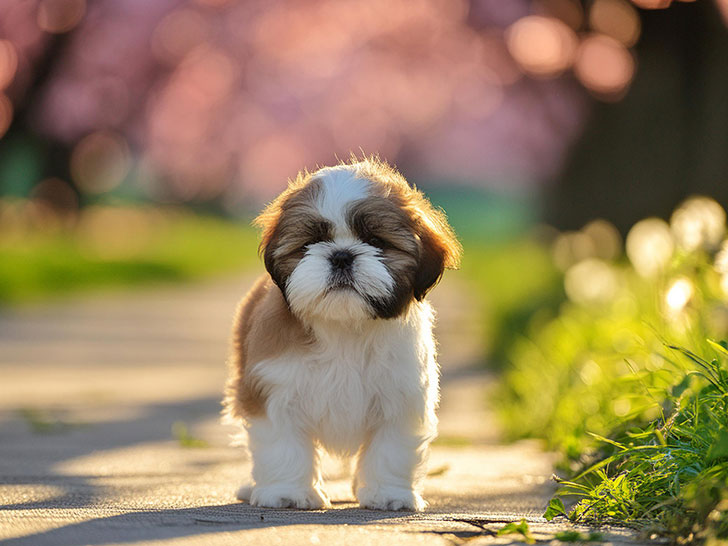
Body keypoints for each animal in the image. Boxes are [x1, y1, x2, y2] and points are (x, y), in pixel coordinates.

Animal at [223, 156, 460, 510]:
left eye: (376, 242)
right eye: (309, 244)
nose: (341, 255)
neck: (345, 326)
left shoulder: (402, 396)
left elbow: (391, 449)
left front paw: (389, 494)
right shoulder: (274, 389)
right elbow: (284, 446)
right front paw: (288, 493)